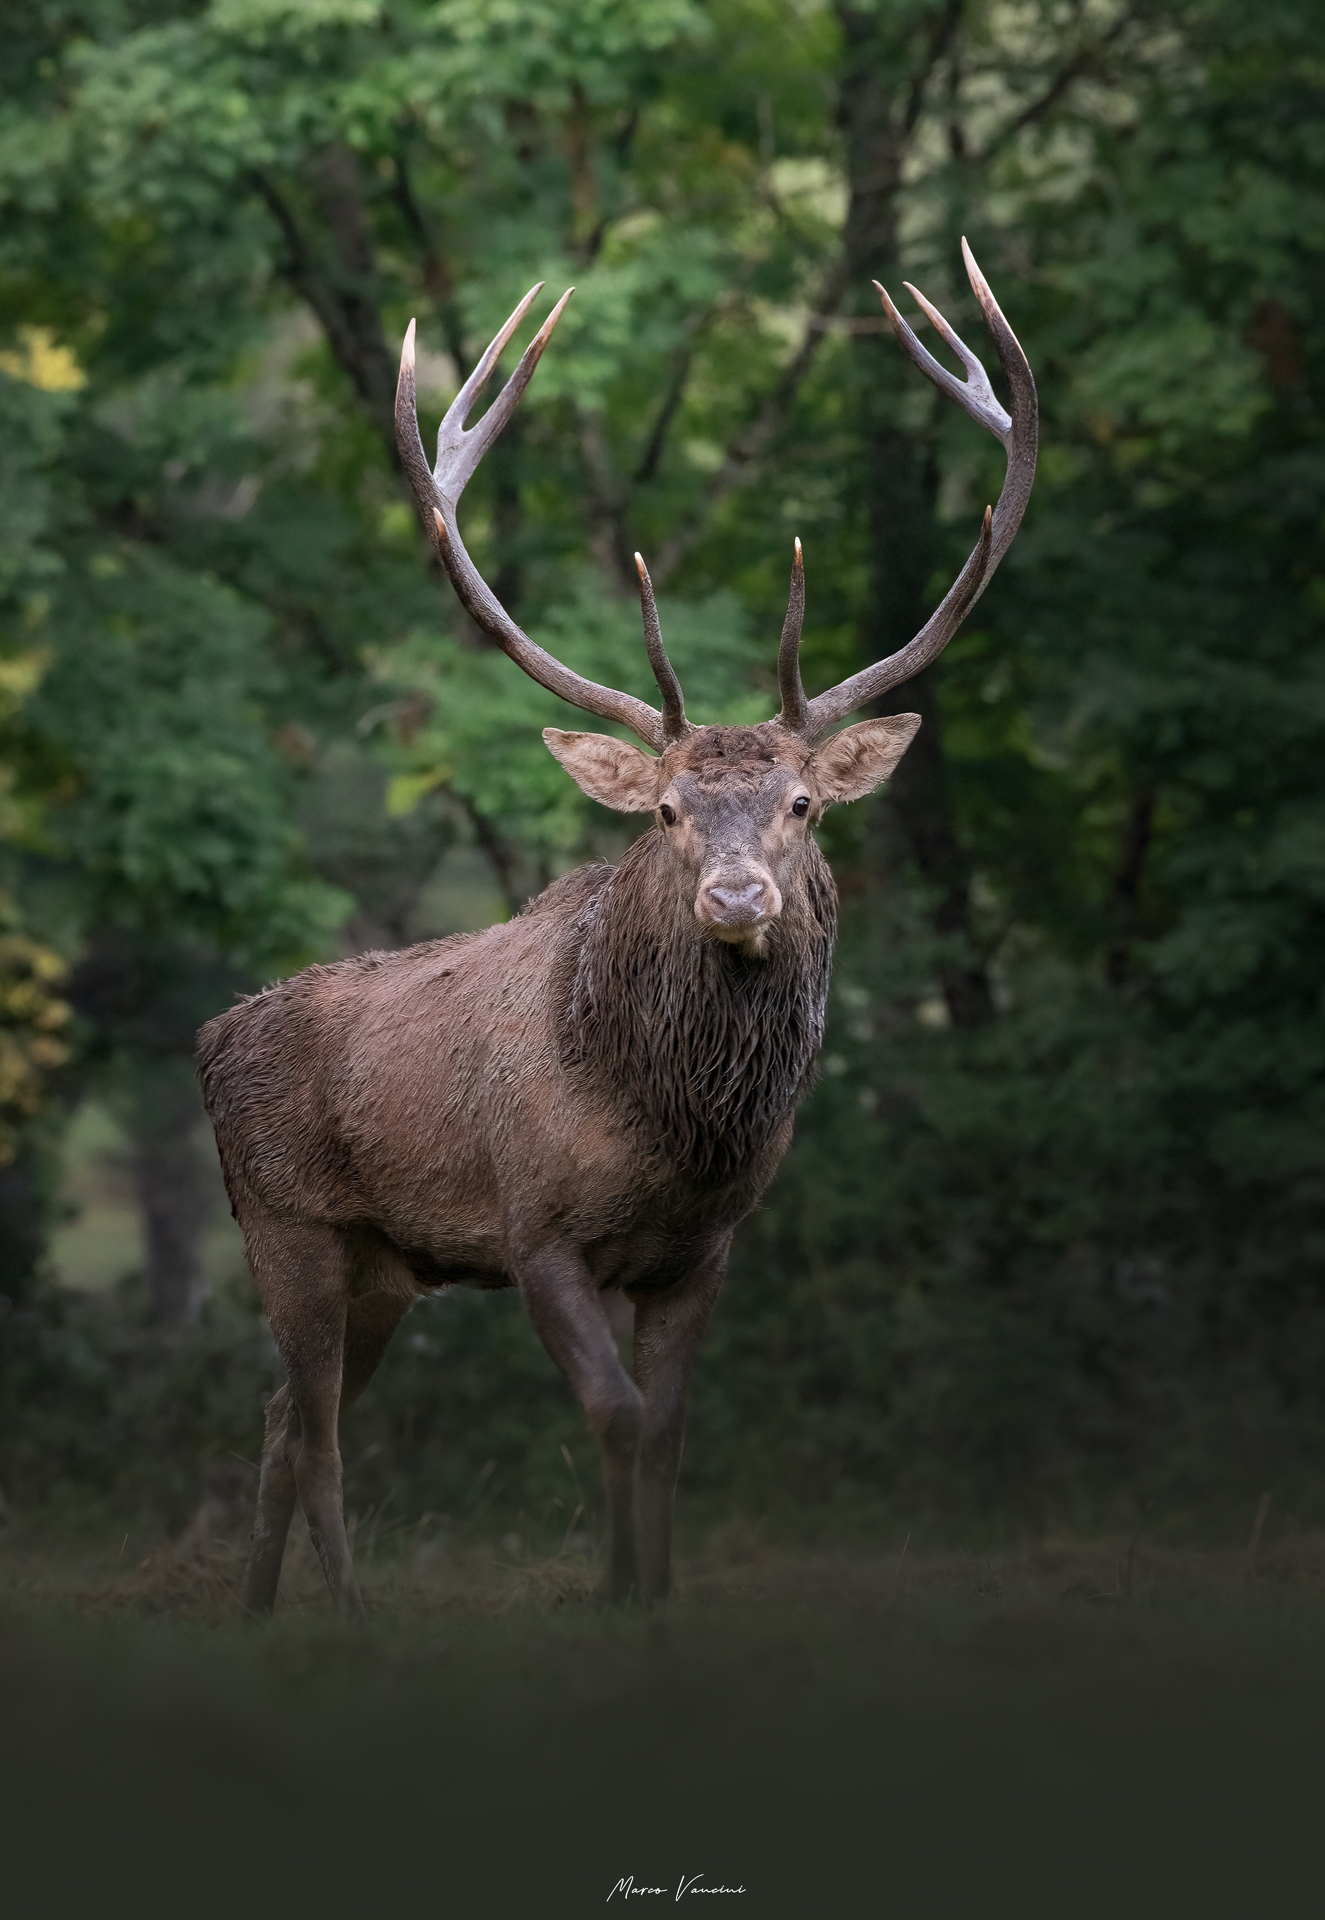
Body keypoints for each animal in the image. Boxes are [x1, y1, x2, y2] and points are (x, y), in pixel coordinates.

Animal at [198, 241, 1036, 1618]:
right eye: (663, 810)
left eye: (801, 804)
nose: (737, 899)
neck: (671, 1128)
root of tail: (208, 1042)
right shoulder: (535, 1230)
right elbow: (619, 1415)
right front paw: (618, 1600)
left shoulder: (702, 1251)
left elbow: (671, 1429)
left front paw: (648, 1594)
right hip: (288, 1227)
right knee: (312, 1430)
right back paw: (347, 1616)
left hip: (379, 1265)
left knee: (277, 1418)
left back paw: (260, 1614)